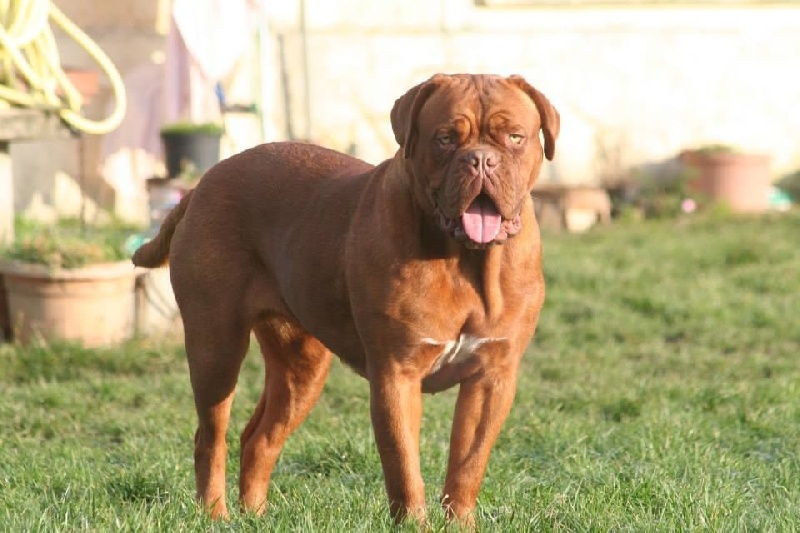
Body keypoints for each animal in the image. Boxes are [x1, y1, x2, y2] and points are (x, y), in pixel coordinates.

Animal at [131, 71, 560, 524]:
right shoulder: (396, 373)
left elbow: (467, 465)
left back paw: (256, 515)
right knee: (211, 437)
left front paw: (459, 524)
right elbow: (404, 467)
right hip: (216, 346)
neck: (466, 261)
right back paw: (216, 515)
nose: (480, 160)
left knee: (259, 437)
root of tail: (202, 183)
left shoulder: (492, 378)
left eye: (514, 137)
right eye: (445, 139)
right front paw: (414, 524)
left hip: (302, 367)